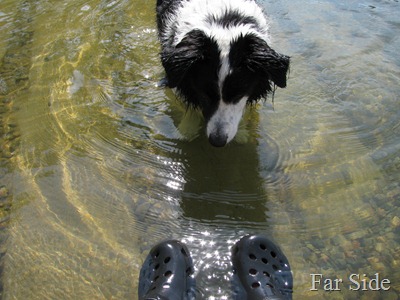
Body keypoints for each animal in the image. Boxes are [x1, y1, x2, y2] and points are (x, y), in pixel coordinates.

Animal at [155, 0, 290, 146]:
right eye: (204, 94)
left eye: (239, 95)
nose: (217, 141)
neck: (223, 21)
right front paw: (186, 131)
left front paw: (242, 133)